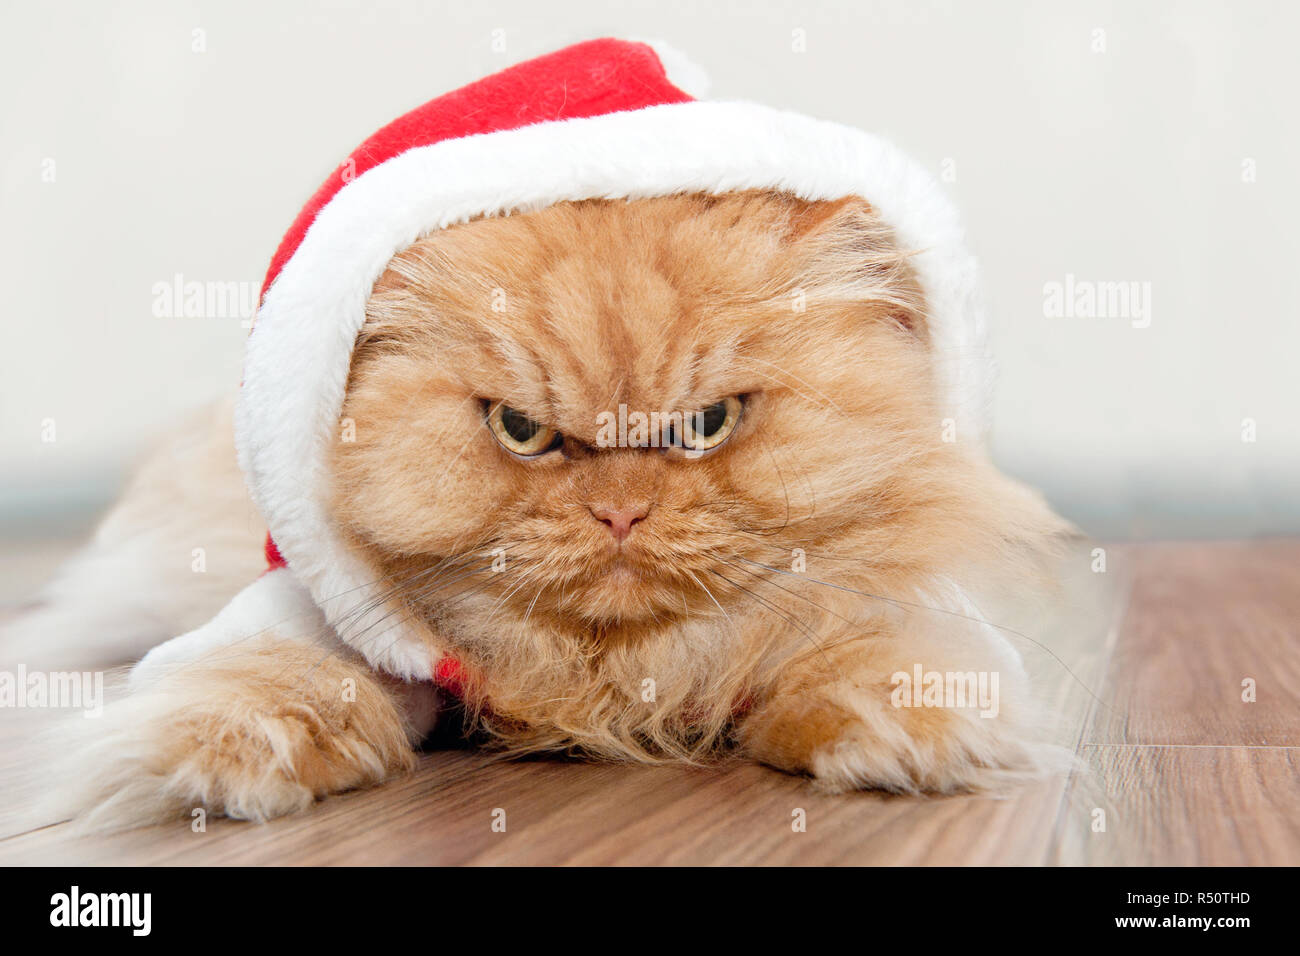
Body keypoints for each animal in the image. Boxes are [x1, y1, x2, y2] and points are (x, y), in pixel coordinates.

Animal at [7, 191, 1066, 827]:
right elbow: (276, 673)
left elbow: (873, 650)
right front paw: (223, 757)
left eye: (706, 424)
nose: (621, 514)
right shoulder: (328, 612)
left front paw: (904, 733)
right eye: (522, 431)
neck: (610, 680)